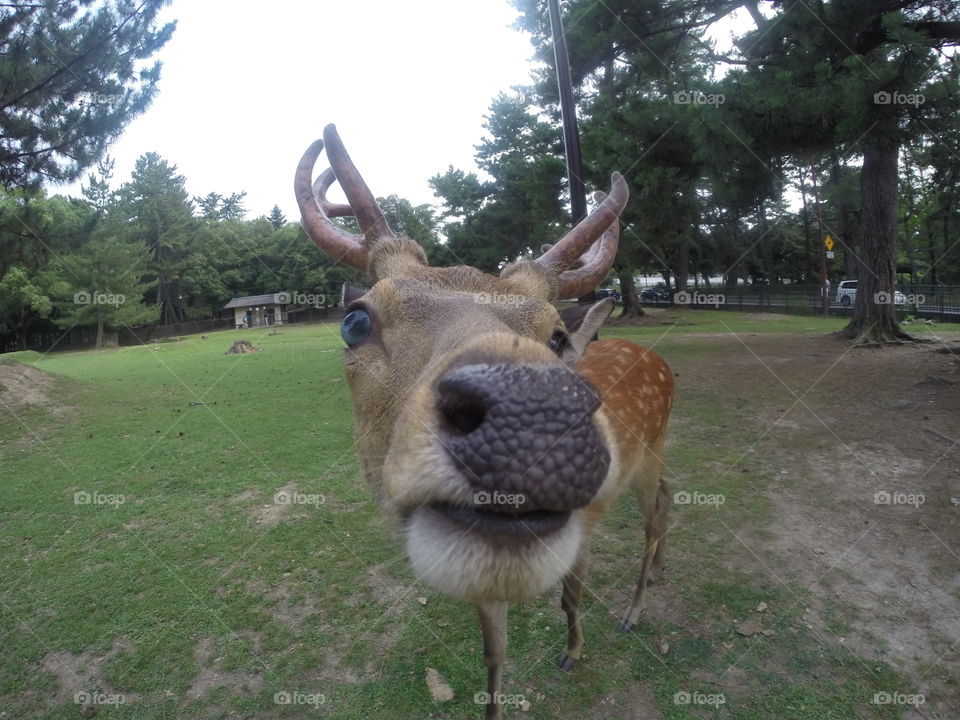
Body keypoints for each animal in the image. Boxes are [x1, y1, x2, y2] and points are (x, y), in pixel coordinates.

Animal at [294, 125, 673, 719]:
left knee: (655, 514)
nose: (526, 416)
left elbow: (570, 594)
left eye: (557, 336)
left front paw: (572, 653)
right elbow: (493, 651)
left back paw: (633, 612)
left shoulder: (584, 522)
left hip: (652, 449)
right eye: (355, 322)